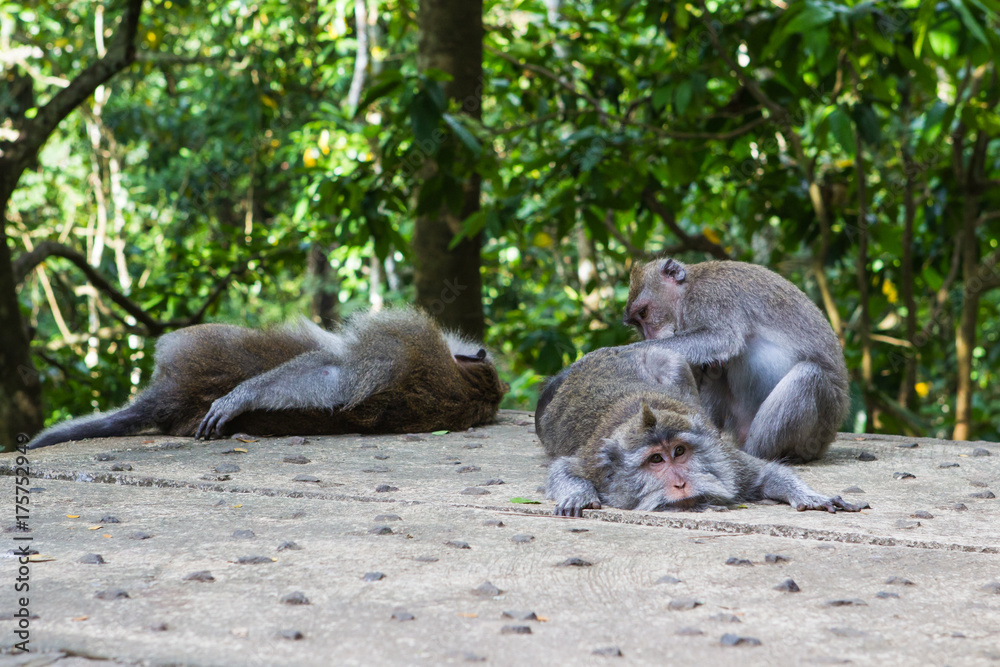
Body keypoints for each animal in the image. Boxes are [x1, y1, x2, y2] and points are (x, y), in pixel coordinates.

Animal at [23, 308, 508, 448]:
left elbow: (337, 372)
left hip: (191, 343)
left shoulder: (401, 341)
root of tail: (169, 396)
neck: (462, 389)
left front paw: (239, 398)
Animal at [532, 342, 868, 520]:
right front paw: (578, 495)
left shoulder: (726, 462)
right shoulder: (596, 466)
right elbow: (564, 469)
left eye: (679, 452)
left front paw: (809, 496)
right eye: (656, 460)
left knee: (670, 361)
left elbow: (765, 473)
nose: (681, 483)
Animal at [624, 260, 852, 464]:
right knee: (716, 367)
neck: (687, 289)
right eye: (637, 323)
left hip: (819, 427)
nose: (649, 337)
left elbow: (722, 337)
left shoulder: (709, 297)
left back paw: (754, 454)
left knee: (809, 375)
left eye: (644, 313)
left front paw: (627, 352)